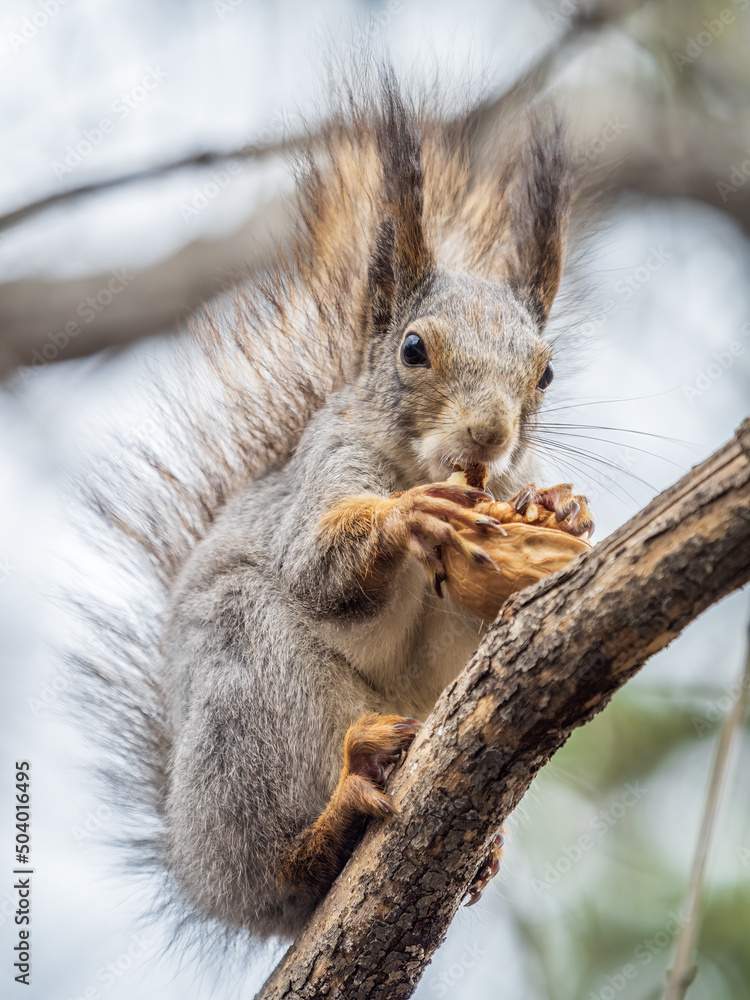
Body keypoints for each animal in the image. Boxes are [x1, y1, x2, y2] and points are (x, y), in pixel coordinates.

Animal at [76, 70, 593, 947]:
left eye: (546, 372)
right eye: (414, 349)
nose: (490, 436)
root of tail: (201, 869)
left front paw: (558, 509)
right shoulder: (328, 471)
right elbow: (316, 567)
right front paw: (407, 516)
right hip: (245, 702)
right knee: (288, 864)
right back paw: (335, 814)